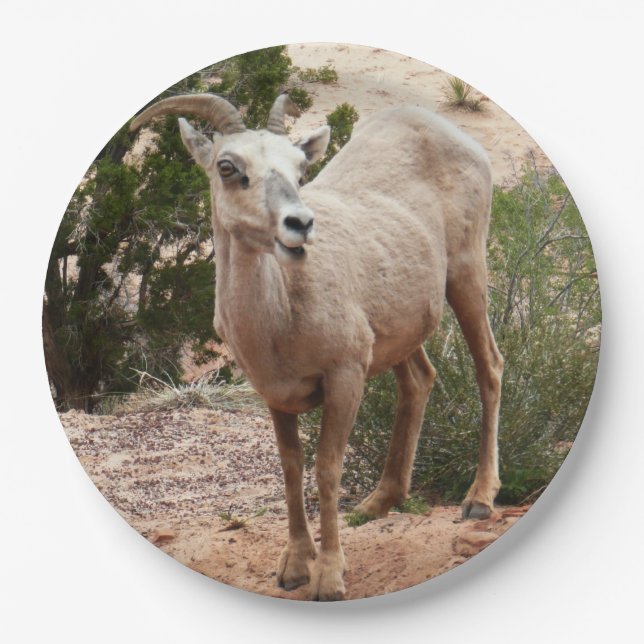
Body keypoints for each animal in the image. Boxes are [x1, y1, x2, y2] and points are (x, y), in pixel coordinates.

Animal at [129, 92, 504, 601]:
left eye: (300, 169)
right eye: (227, 166)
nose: (300, 224)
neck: (279, 317)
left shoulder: (345, 377)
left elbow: (327, 468)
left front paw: (328, 577)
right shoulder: (275, 395)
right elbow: (292, 469)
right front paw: (293, 568)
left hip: (467, 275)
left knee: (490, 368)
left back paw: (479, 500)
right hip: (400, 330)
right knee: (419, 381)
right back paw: (377, 503)